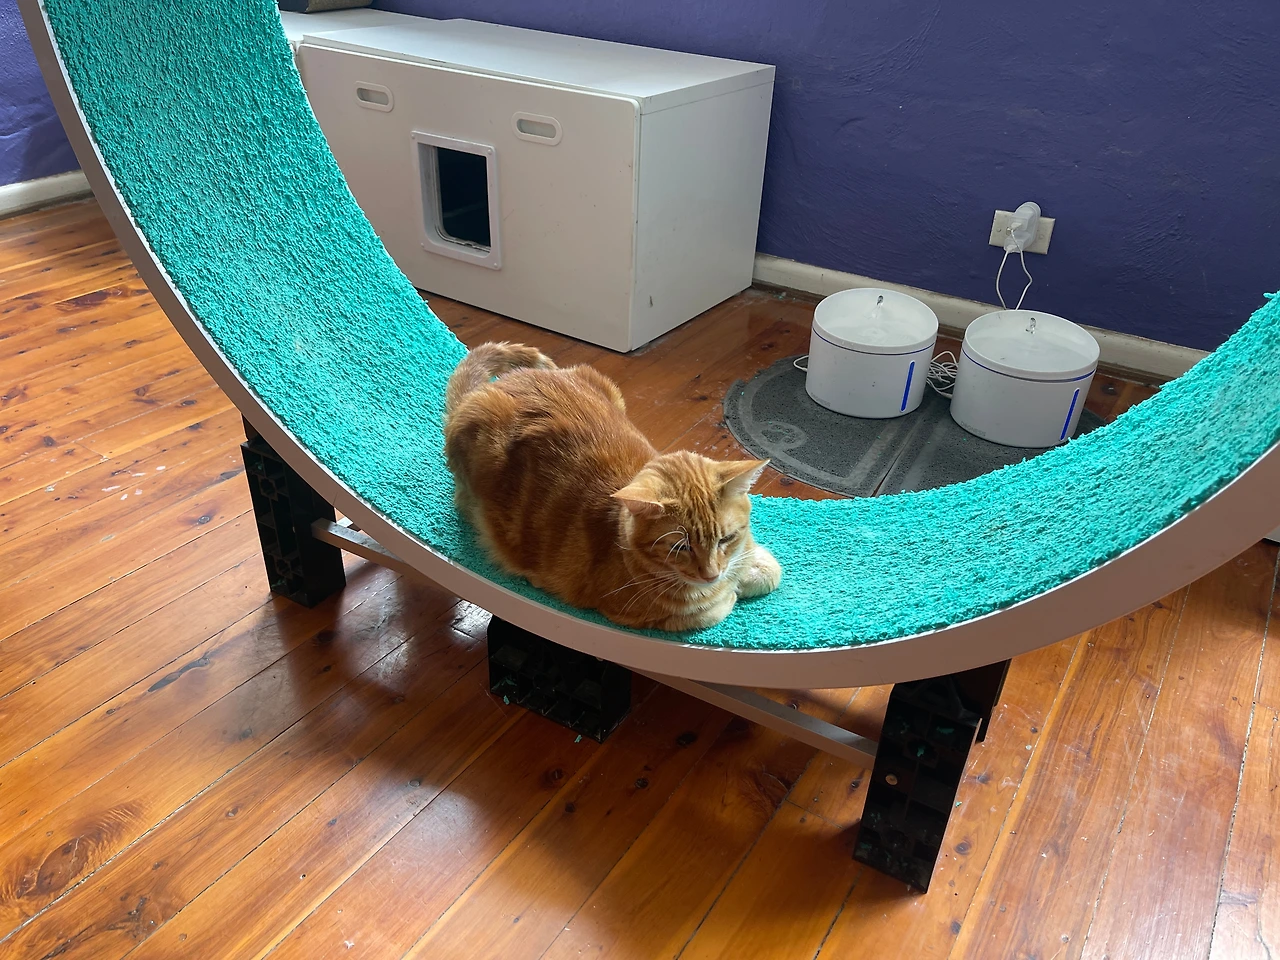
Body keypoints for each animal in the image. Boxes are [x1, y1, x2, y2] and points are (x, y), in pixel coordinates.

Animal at [443, 342, 782, 631]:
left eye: (726, 538)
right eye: (680, 547)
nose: (711, 574)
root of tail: (494, 387)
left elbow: (767, 569)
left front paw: (747, 571)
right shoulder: (645, 614)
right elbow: (716, 605)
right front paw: (732, 589)